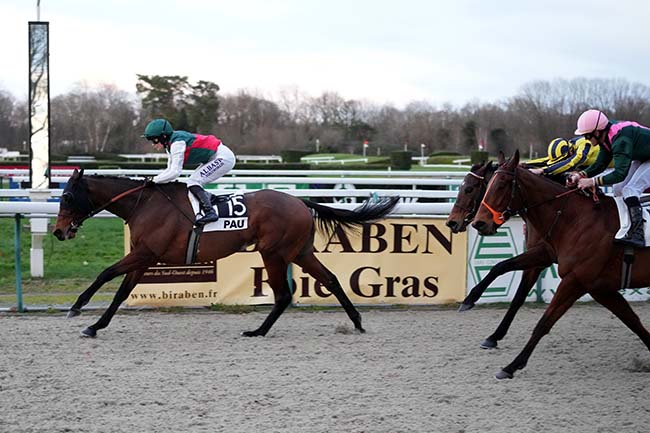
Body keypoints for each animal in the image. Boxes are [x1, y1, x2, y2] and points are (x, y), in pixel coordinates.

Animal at [53, 169, 398, 338]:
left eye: (67, 196)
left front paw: (77, 308)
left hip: (274, 252)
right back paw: (356, 322)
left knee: (284, 294)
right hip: (299, 252)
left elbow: (106, 273)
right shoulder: (144, 257)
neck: (145, 205)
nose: (59, 231)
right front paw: (95, 326)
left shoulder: (145, 253)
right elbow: (121, 292)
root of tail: (300, 202)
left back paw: (257, 331)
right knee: (330, 279)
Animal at [446, 159, 552, 348]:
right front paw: (494, 336)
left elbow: (500, 267)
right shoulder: (537, 260)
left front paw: (470, 299)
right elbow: (518, 297)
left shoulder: (544, 254)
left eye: (469, 189)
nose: (451, 222)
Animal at [470, 149, 648, 378]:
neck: (575, 219)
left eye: (501, 185)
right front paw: (471, 301)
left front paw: (511, 366)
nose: (479, 223)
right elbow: (632, 319)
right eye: (488, 184)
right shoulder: (598, 286)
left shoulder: (574, 281)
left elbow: (544, 322)